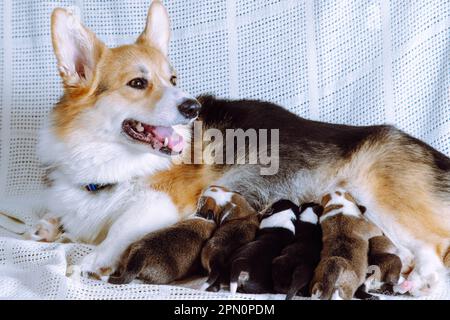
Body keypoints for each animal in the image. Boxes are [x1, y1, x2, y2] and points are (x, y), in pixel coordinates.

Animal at [30, 0, 446, 296]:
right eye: (137, 83)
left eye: (173, 79)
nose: (192, 107)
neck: (106, 157)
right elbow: (58, 219)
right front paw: (47, 228)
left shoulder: (164, 200)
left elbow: (120, 226)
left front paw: (93, 261)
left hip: (383, 200)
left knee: (434, 251)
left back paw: (420, 284)